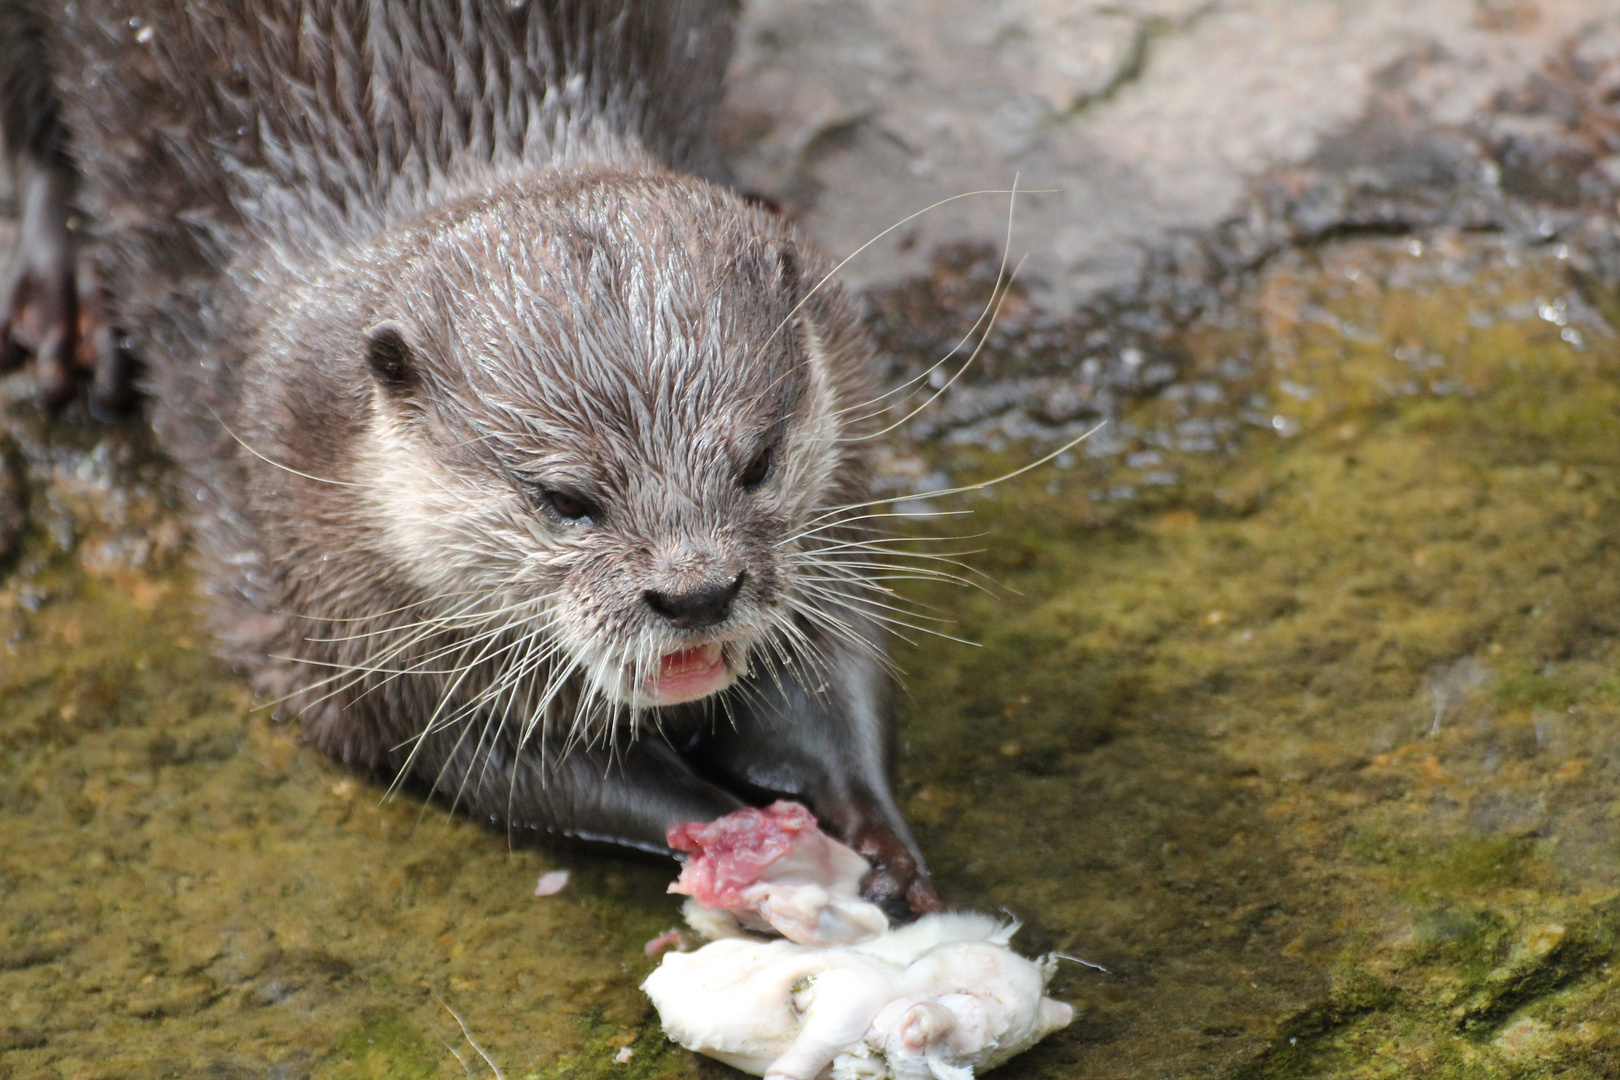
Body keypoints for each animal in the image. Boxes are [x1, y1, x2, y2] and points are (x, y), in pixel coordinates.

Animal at [0, 0, 946, 919]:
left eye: (756, 463)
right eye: (564, 499)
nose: (697, 592)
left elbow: (833, 671)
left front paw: (877, 837)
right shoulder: (337, 610)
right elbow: (500, 767)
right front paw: (728, 831)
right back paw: (71, 302)